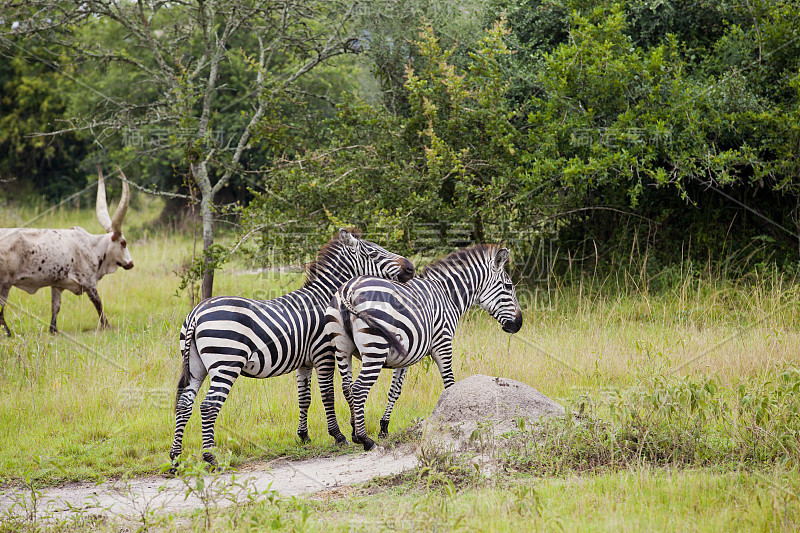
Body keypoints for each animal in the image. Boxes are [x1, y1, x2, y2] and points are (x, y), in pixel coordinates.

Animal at [0, 164, 134, 334]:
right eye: (123, 243)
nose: (131, 263)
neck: (92, 246)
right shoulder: (90, 283)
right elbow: (99, 304)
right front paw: (107, 326)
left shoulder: (57, 285)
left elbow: (55, 307)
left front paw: (53, 330)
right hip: (5, 283)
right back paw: (8, 333)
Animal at [171, 229, 416, 466]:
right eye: (373, 252)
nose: (411, 268)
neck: (323, 300)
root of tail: (196, 313)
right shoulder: (323, 354)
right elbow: (328, 394)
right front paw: (339, 436)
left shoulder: (304, 362)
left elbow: (304, 398)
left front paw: (304, 436)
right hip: (226, 363)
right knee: (208, 406)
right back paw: (210, 457)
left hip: (196, 366)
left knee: (184, 403)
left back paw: (175, 458)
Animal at [324, 244, 524, 448]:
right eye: (508, 286)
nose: (518, 324)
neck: (448, 296)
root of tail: (348, 290)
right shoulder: (442, 342)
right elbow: (449, 384)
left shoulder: (405, 354)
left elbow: (394, 391)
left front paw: (384, 428)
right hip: (375, 348)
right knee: (358, 389)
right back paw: (365, 439)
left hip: (342, 349)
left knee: (347, 387)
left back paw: (354, 433)